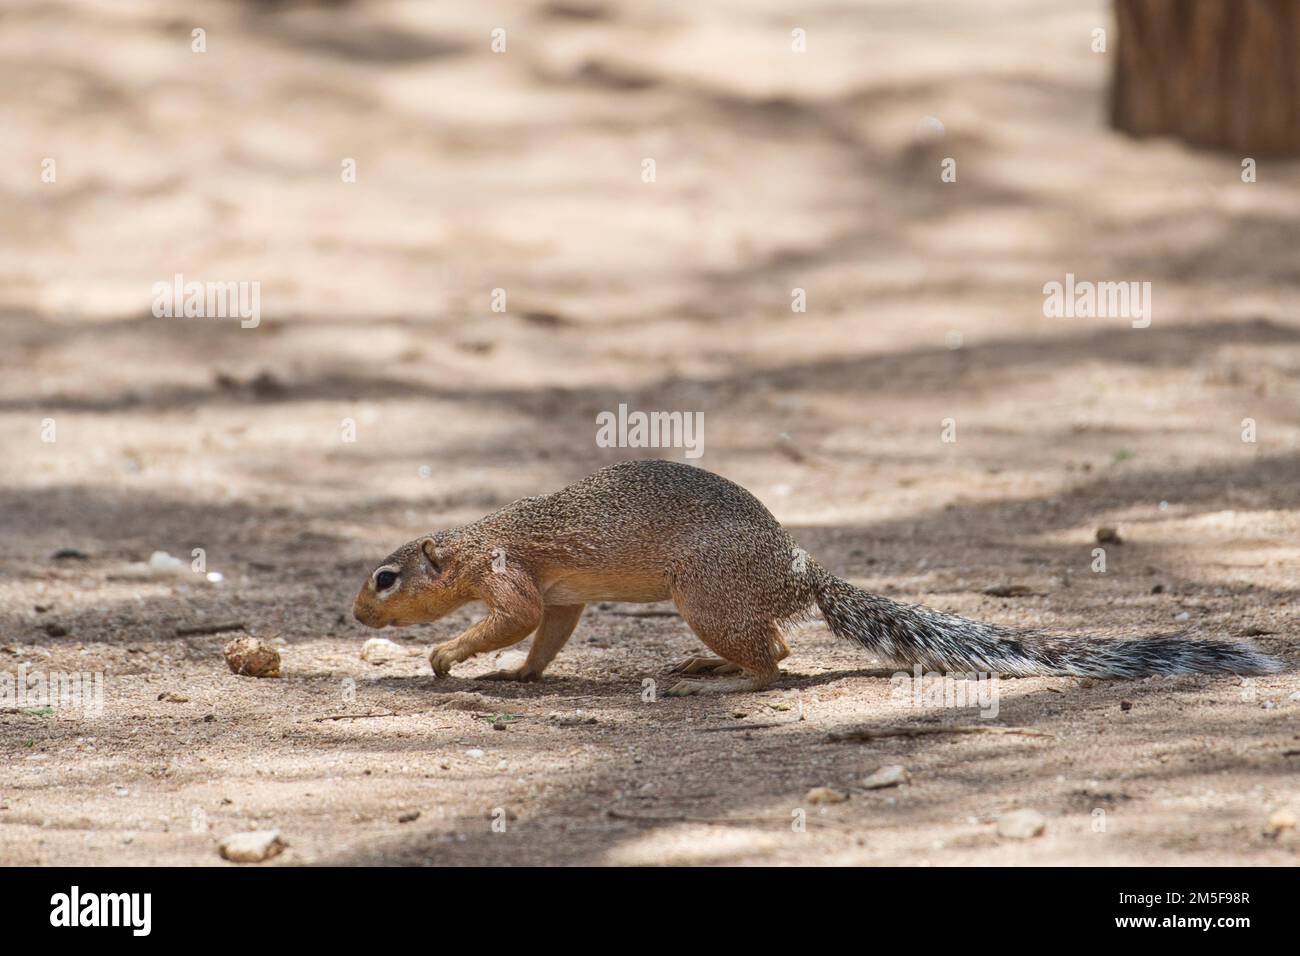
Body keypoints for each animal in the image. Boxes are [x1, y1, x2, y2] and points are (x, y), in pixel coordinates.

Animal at [353, 459, 1282, 694]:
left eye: (386, 578)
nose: (356, 614)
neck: (477, 539)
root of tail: (799, 574)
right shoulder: (557, 599)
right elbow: (544, 636)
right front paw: (521, 674)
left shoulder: (510, 573)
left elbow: (506, 619)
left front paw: (447, 659)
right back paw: (707, 667)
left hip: (705, 594)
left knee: (777, 660)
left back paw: (726, 680)